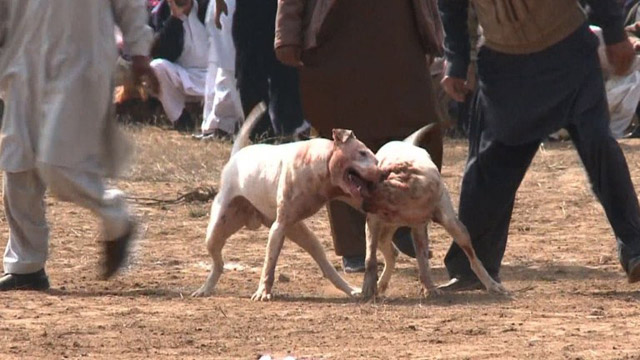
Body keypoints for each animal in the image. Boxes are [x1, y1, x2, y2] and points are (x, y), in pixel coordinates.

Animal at [190, 105, 380, 300]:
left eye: (374, 157)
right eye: (362, 153)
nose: (382, 173)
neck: (322, 167)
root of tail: (235, 157)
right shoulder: (278, 227)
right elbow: (269, 265)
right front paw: (263, 292)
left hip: (303, 235)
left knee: (326, 267)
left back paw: (351, 290)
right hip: (216, 231)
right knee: (218, 264)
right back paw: (204, 288)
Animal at [360, 124, 504, 298]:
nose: (363, 203)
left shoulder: (419, 226)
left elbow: (423, 261)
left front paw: (429, 287)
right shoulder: (374, 222)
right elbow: (370, 258)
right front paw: (368, 286)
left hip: (455, 228)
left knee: (473, 258)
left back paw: (491, 284)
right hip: (383, 231)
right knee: (389, 251)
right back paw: (381, 284)